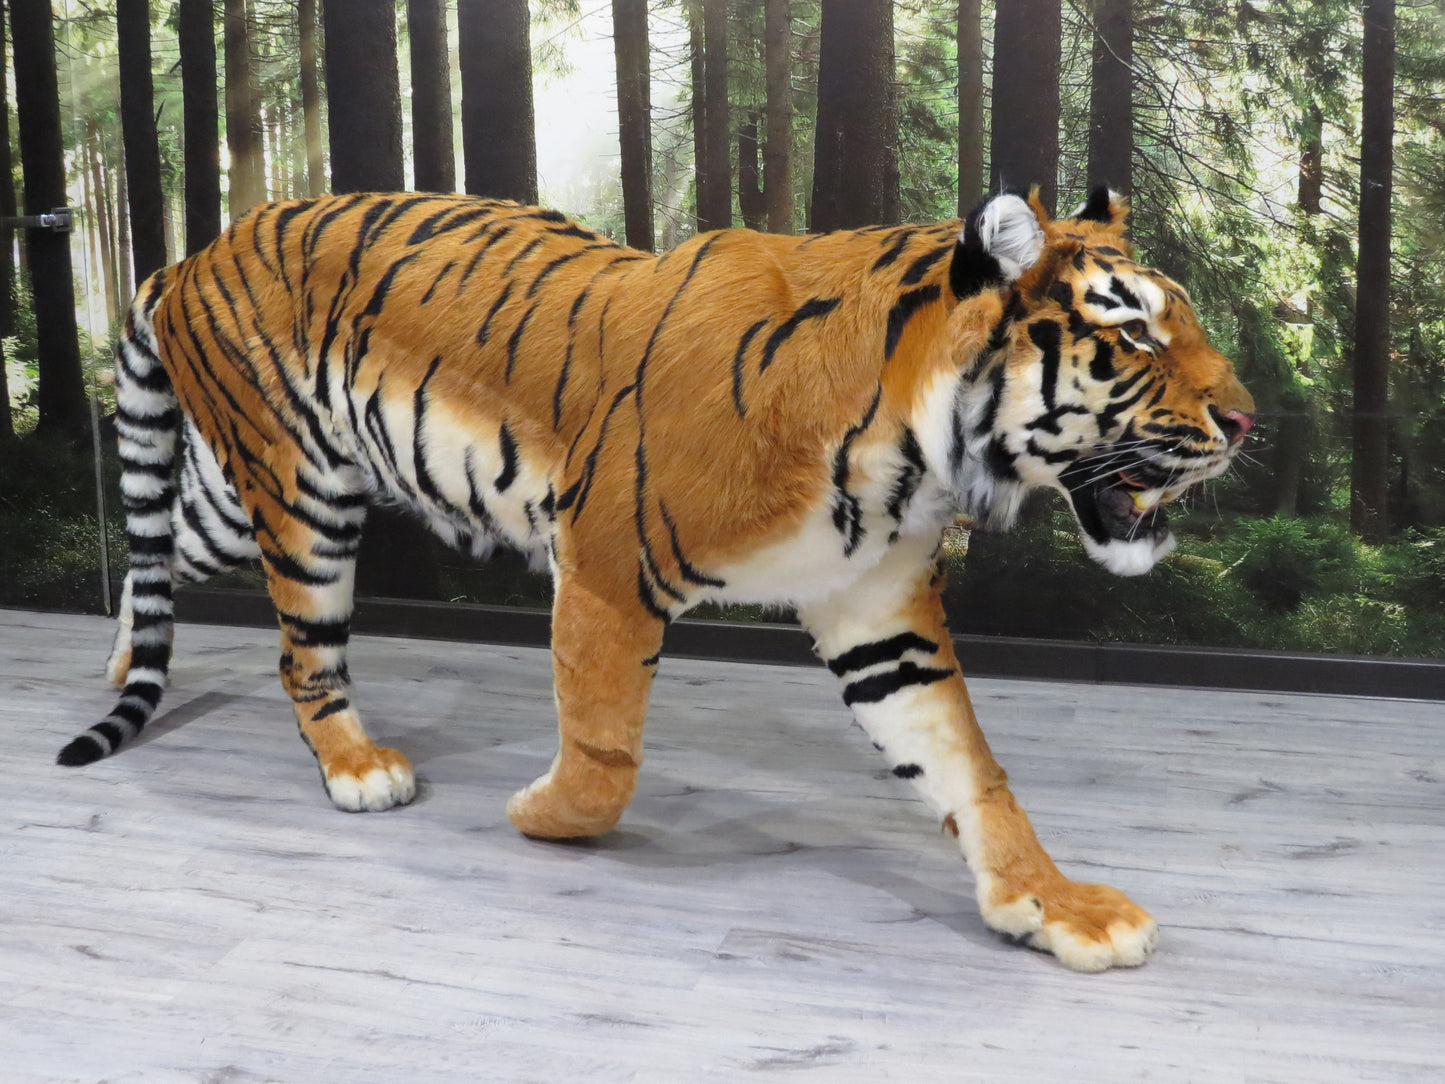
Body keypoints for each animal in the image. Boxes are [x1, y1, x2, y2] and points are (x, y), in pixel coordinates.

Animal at [61, 186, 1253, 972]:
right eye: (1132, 329)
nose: (1245, 421)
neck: (915, 451)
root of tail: (193, 251)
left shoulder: (874, 608)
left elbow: (969, 767)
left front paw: (1050, 904)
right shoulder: (602, 565)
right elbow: (605, 755)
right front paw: (540, 816)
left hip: (254, 492)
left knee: (162, 546)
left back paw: (117, 663)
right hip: (302, 497)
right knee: (301, 651)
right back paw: (356, 765)